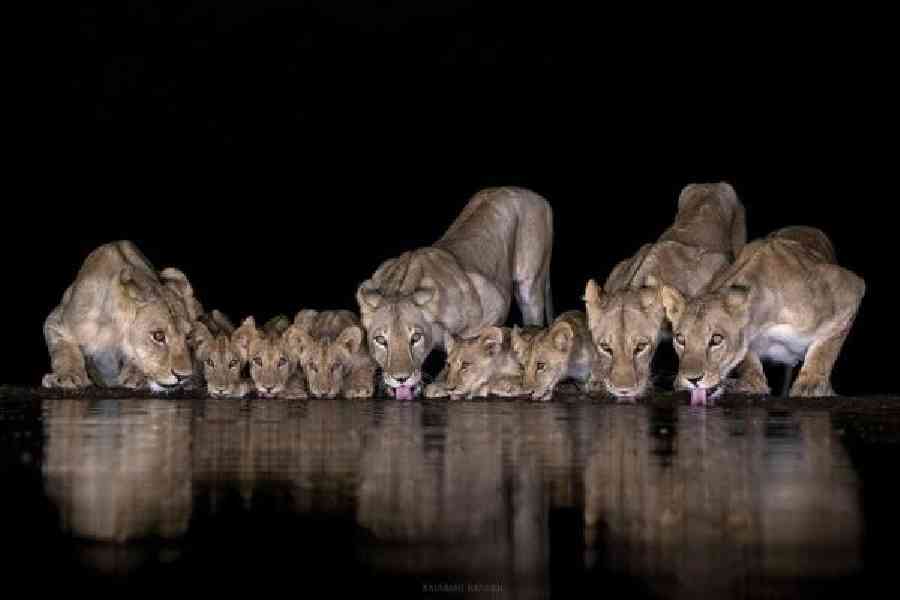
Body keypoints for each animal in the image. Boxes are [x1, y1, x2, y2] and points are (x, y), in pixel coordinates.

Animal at [42, 241, 201, 391]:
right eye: (158, 336)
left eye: (188, 337)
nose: (184, 376)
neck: (113, 331)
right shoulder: (57, 320)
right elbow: (64, 349)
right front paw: (68, 376)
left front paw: (135, 376)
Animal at [357, 187, 554, 399]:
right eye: (380, 340)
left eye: (416, 338)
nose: (401, 378)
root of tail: (533, 194)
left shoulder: (491, 305)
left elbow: (468, 350)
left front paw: (443, 384)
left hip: (531, 285)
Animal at [660, 226, 865, 404]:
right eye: (680, 339)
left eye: (716, 339)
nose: (691, 379)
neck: (764, 320)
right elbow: (748, 361)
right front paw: (751, 382)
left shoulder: (850, 290)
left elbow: (824, 351)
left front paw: (810, 385)